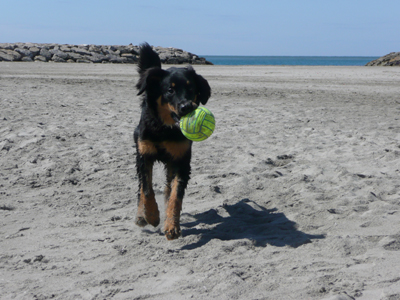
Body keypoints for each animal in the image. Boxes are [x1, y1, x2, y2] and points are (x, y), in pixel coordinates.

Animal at [133, 42, 211, 239]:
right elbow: (147, 189)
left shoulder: (181, 160)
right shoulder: (144, 155)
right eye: (170, 90)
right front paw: (151, 215)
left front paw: (171, 225)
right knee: (141, 188)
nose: (187, 106)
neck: (165, 129)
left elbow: (175, 195)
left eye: (191, 89)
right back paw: (141, 215)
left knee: (168, 189)